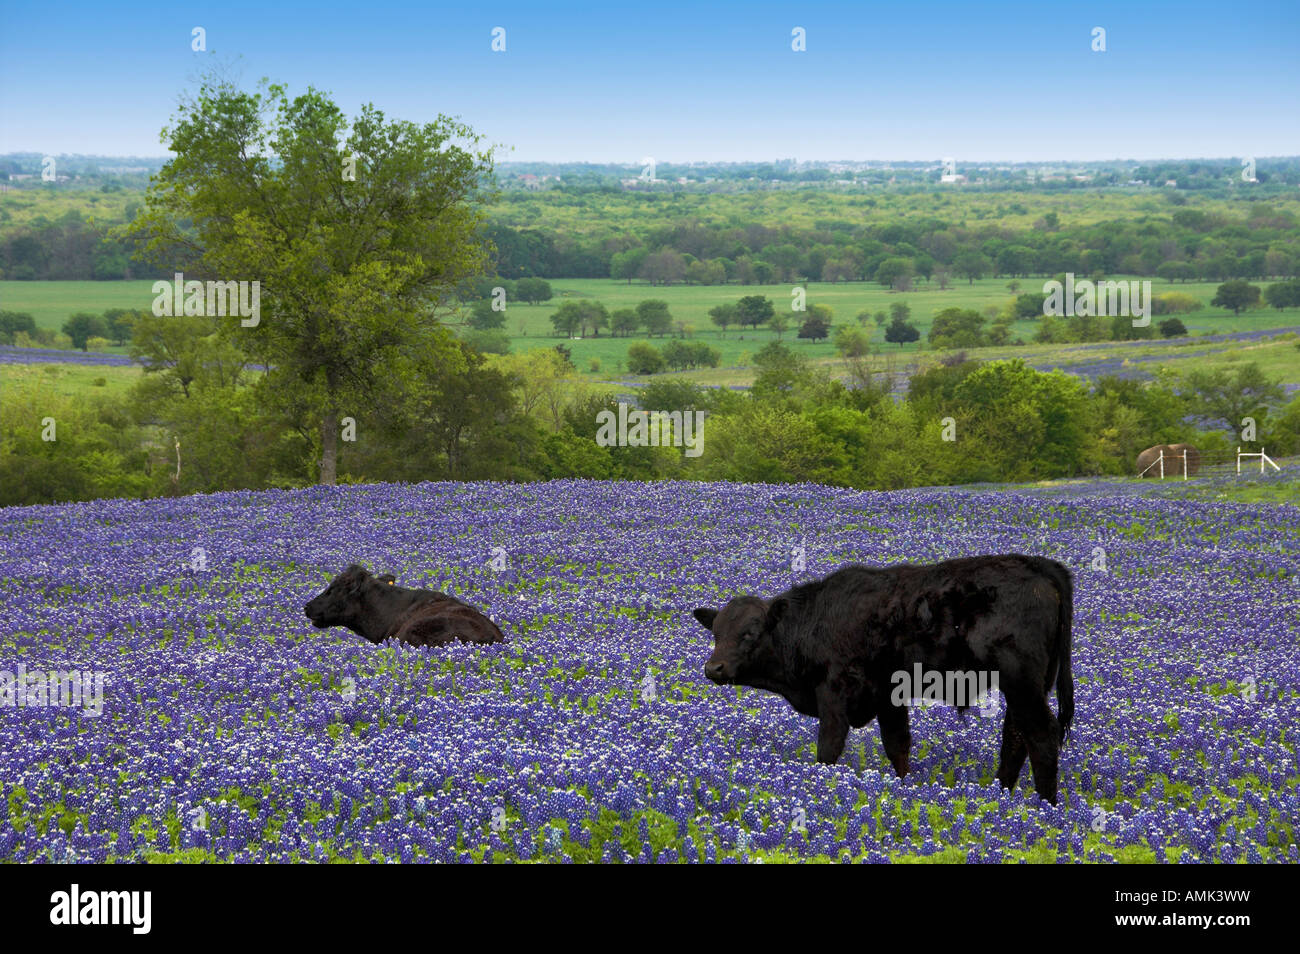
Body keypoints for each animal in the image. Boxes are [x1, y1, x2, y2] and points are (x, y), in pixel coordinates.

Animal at [692, 554, 1074, 803]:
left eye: (750, 633)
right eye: (716, 632)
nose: (714, 668)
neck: (813, 622)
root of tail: (1038, 565)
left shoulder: (834, 694)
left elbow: (828, 749)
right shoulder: (888, 696)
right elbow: (897, 745)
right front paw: (903, 788)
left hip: (1021, 680)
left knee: (1040, 735)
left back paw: (1045, 807)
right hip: (1028, 684)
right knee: (1016, 736)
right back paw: (1001, 797)